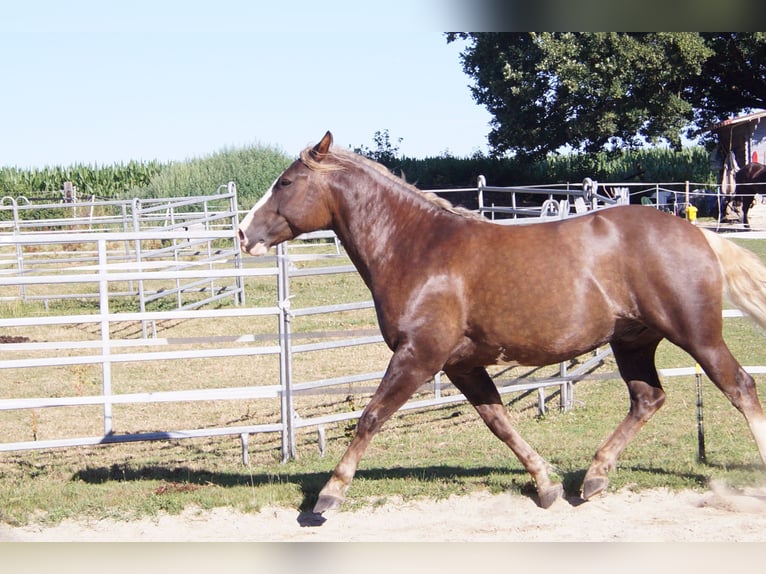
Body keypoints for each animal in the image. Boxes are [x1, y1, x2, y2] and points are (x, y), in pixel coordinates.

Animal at [238, 131, 766, 514]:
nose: (243, 232)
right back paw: (593, 476)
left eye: (286, 183)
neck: (417, 249)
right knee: (648, 398)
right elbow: (499, 422)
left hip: (697, 335)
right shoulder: (461, 365)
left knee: (740, 386)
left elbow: (371, 416)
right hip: (632, 342)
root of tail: (697, 233)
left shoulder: (417, 356)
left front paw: (329, 494)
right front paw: (545, 484)